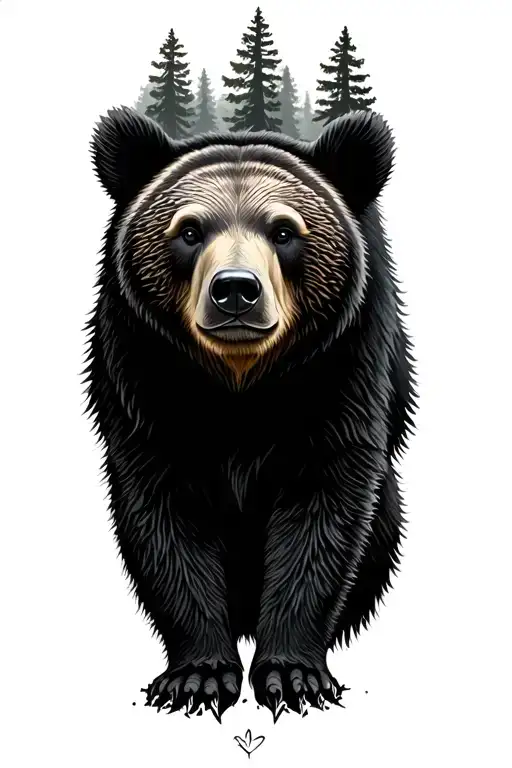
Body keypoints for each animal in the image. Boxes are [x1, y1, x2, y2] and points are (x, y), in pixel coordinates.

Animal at [84, 105, 417, 722]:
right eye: (189, 230)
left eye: (284, 231)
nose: (236, 290)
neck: (241, 383)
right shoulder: (141, 377)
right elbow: (165, 518)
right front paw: (198, 676)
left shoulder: (345, 368)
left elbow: (323, 512)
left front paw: (292, 675)